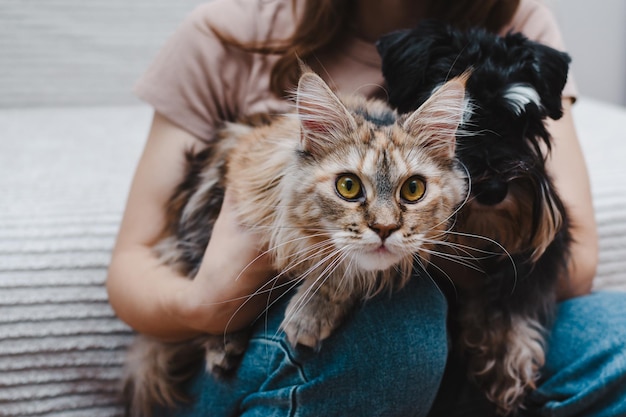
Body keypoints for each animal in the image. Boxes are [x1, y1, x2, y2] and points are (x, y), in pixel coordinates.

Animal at [120, 70, 468, 414]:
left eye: (413, 190)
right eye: (348, 186)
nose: (385, 229)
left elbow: (342, 273)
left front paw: (309, 316)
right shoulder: (213, 203)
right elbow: (213, 293)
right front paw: (223, 342)